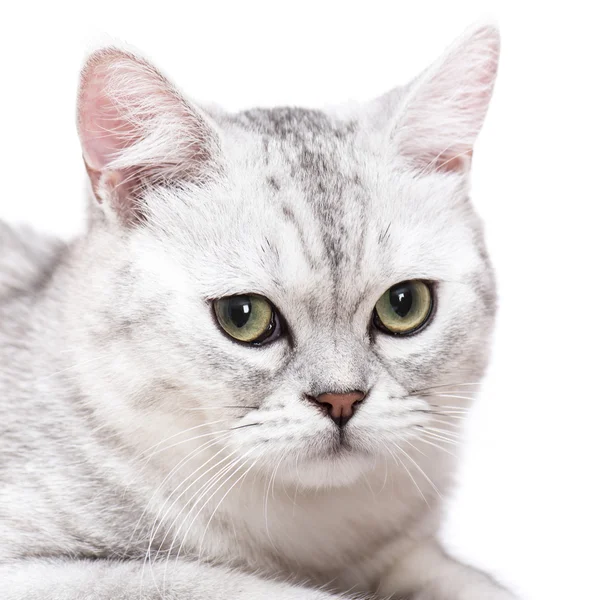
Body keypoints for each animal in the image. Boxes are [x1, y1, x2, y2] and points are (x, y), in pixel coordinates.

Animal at [0, 22, 516, 600]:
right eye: (242, 315)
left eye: (404, 305)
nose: (342, 400)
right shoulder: (36, 567)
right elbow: (225, 584)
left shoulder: (409, 552)